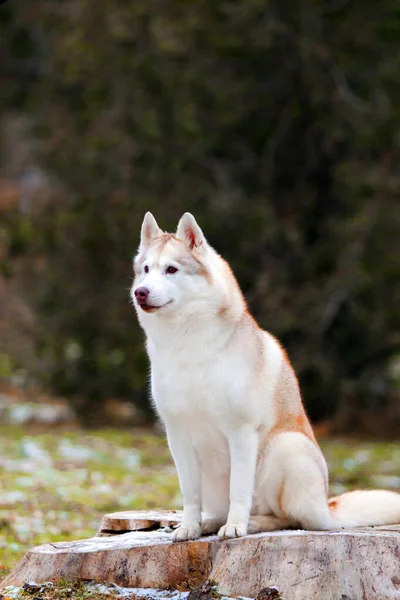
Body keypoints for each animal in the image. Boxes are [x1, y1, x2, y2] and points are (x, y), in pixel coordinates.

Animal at [132, 213, 400, 540]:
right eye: (146, 270)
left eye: (171, 269)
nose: (141, 292)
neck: (188, 346)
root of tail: (328, 507)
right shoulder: (178, 435)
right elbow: (190, 494)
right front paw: (189, 528)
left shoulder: (241, 432)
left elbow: (239, 491)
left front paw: (235, 527)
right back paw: (210, 523)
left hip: (285, 447)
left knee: (290, 519)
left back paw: (252, 523)